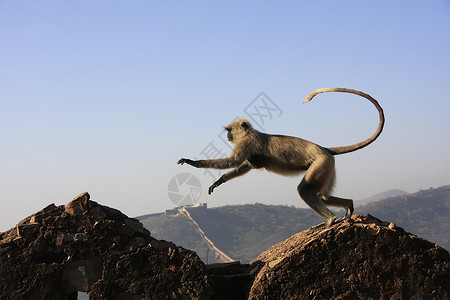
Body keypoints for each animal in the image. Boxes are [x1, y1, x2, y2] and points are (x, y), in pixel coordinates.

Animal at [178, 88, 384, 226]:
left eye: (230, 131)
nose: (228, 136)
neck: (250, 133)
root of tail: (324, 148)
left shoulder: (246, 142)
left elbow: (234, 161)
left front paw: (192, 162)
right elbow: (245, 165)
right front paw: (219, 180)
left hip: (320, 163)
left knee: (306, 190)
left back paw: (331, 220)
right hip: (328, 167)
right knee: (322, 195)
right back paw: (348, 206)